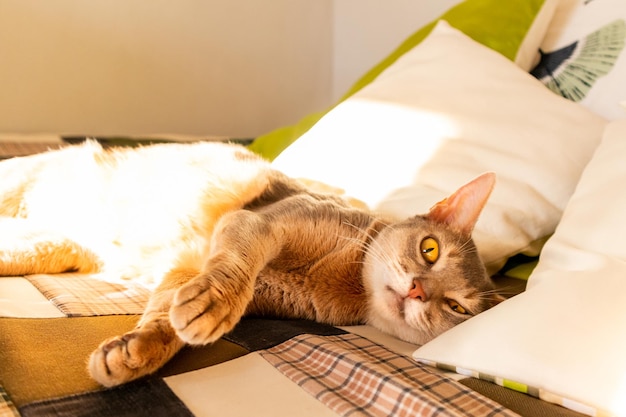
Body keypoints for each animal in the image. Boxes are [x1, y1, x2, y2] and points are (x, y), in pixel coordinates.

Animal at [0, 141, 500, 386]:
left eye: (456, 307)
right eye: (430, 249)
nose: (417, 289)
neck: (341, 281)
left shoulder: (187, 269)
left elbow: (165, 316)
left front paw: (135, 351)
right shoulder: (260, 223)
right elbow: (233, 267)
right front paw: (213, 306)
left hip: (46, 246)